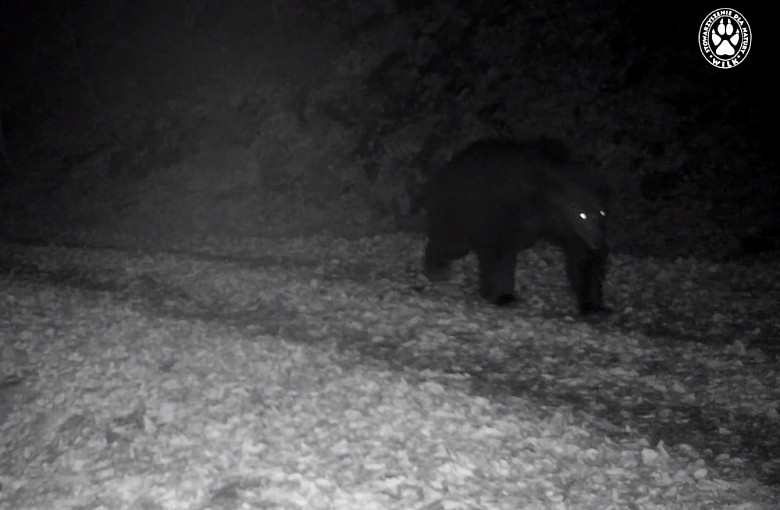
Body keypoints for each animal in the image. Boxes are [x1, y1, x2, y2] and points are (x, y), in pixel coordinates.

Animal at [424, 139, 612, 314]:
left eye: (603, 212)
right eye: (582, 214)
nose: (597, 241)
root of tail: (449, 163)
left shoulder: (571, 231)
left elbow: (583, 260)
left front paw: (593, 304)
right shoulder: (506, 208)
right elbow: (499, 255)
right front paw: (503, 296)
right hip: (462, 208)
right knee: (452, 242)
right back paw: (436, 268)